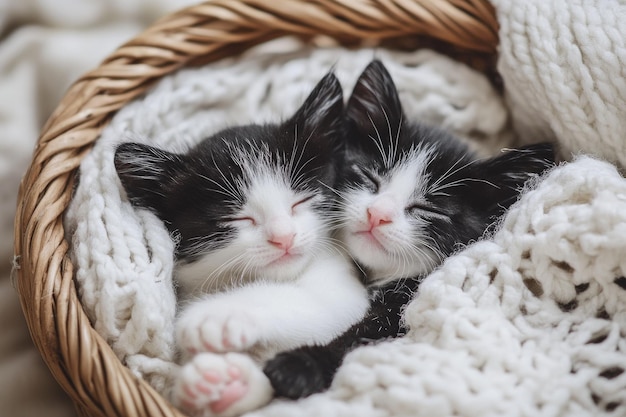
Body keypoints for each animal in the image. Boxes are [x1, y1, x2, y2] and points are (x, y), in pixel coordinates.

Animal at [112, 72, 368, 416]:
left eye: (302, 199)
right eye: (235, 218)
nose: (283, 236)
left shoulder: (344, 288)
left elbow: (313, 302)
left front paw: (217, 316)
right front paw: (219, 384)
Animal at [260, 60, 552, 398]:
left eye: (429, 209)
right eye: (369, 177)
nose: (377, 214)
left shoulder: (399, 316)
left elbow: (361, 337)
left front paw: (300, 365)